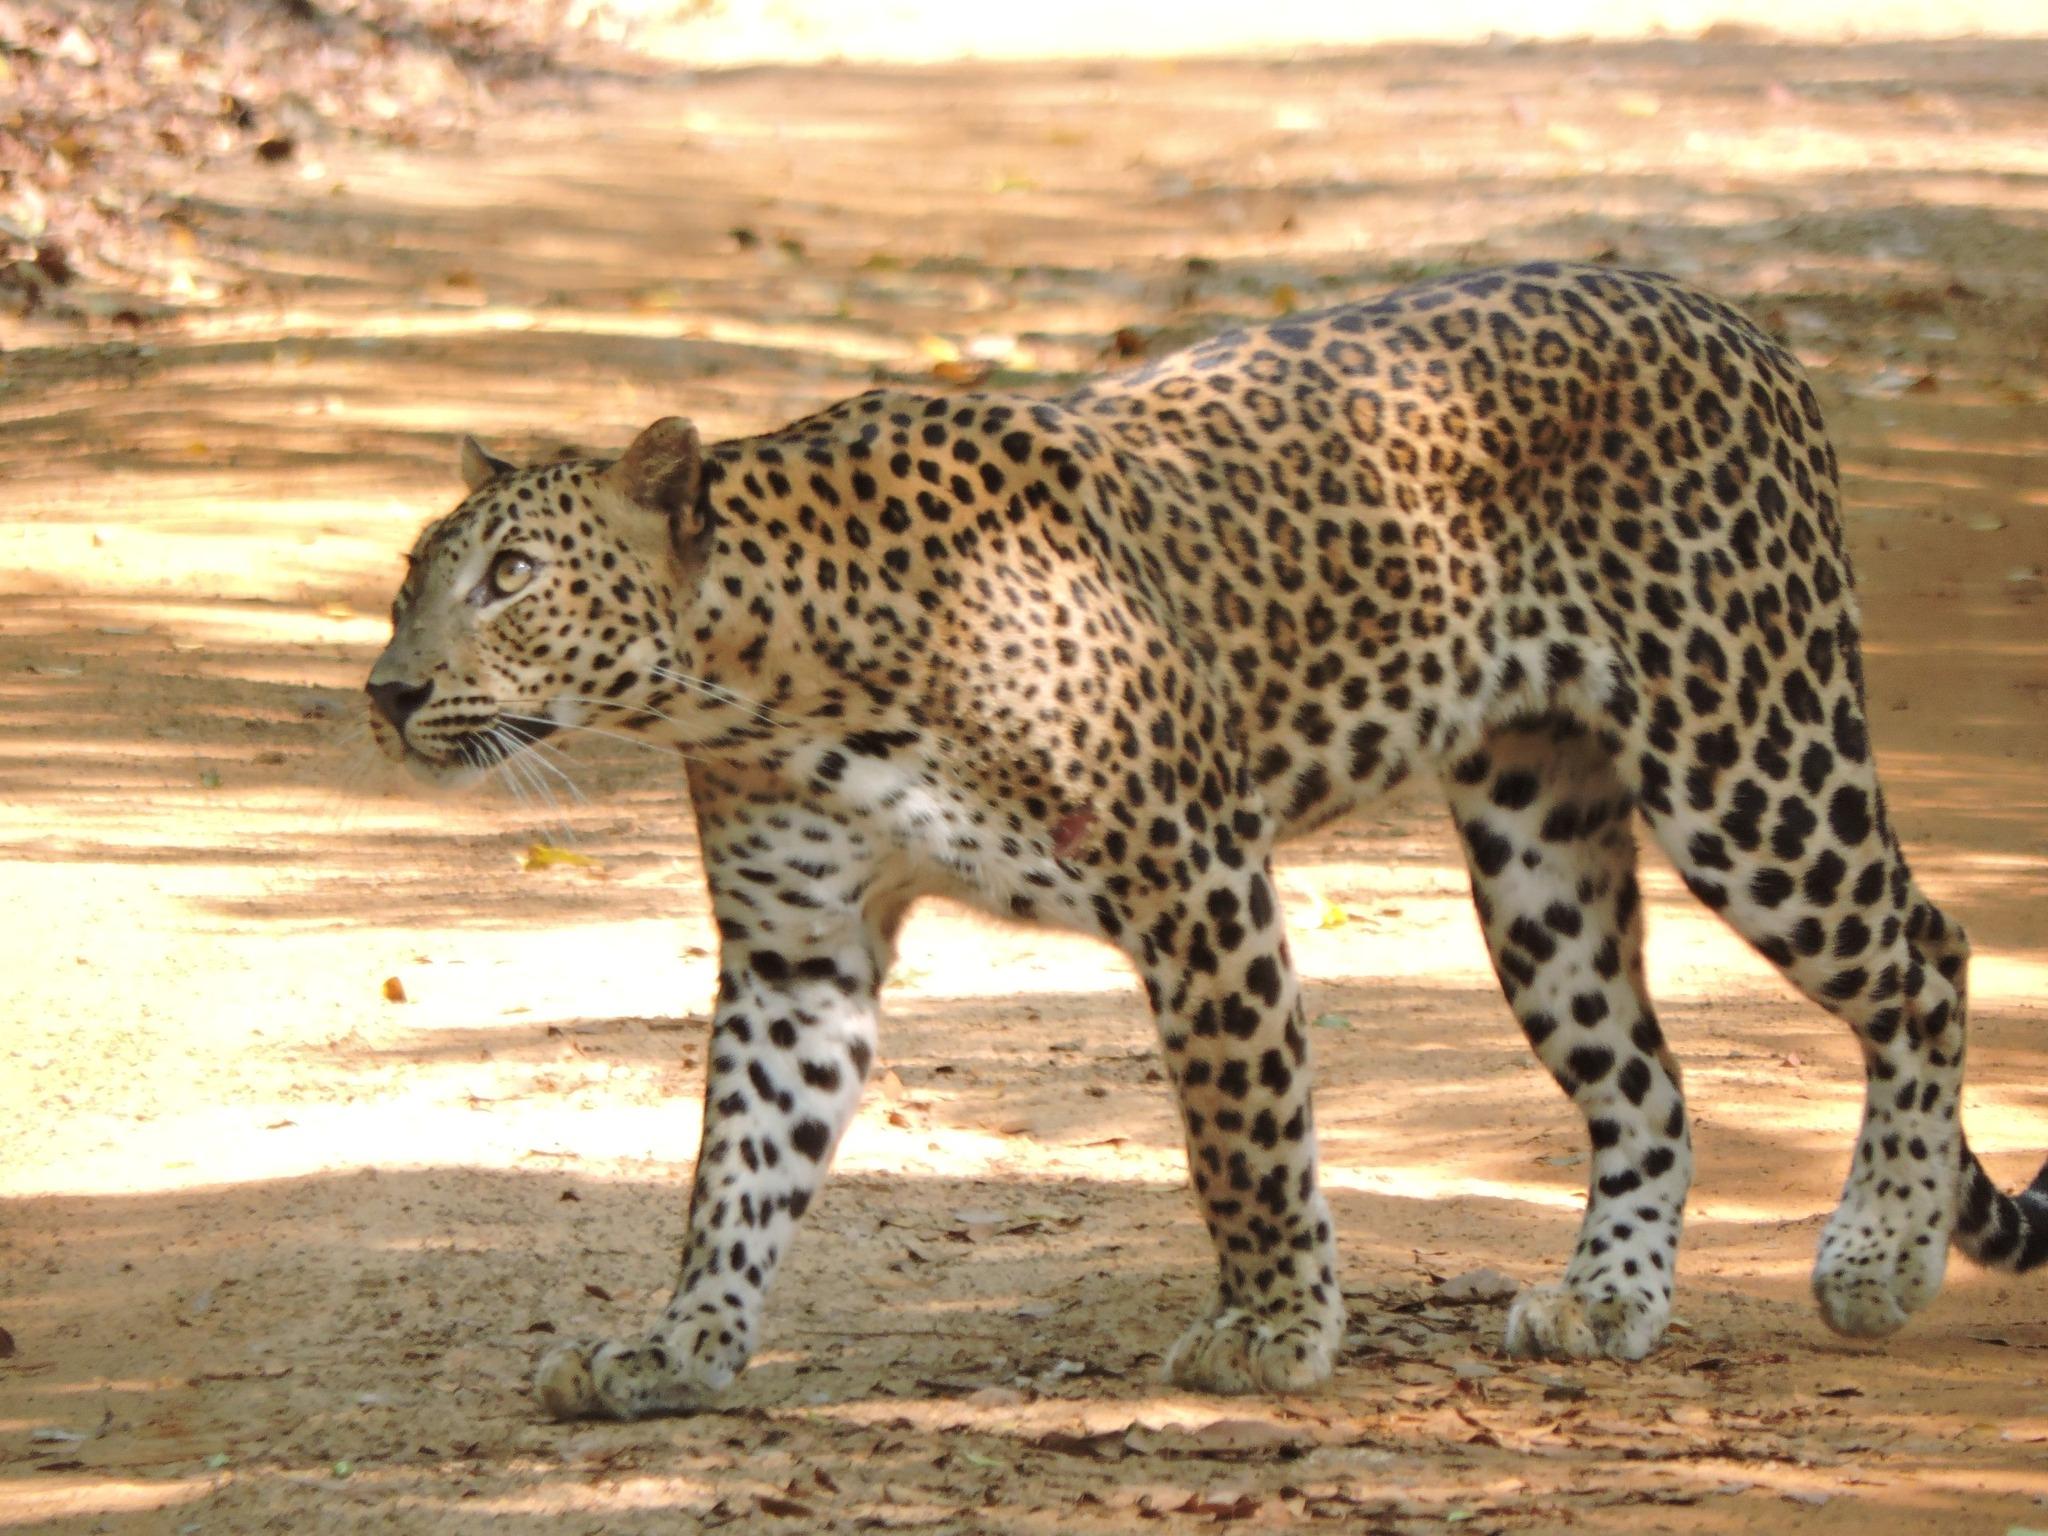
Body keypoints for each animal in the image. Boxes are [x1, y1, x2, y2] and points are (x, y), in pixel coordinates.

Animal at [365, 261, 2048, 1421]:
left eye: (513, 577)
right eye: (410, 581)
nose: (385, 693)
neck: (766, 684)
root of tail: (1735, 324)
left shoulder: (1194, 877)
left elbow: (1242, 1131)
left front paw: (1274, 1331)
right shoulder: (798, 954)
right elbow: (738, 1167)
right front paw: (678, 1347)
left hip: (1750, 759)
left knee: (1927, 956)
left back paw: (1881, 1255)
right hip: (1538, 847)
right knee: (1643, 1078)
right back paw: (1607, 1302)